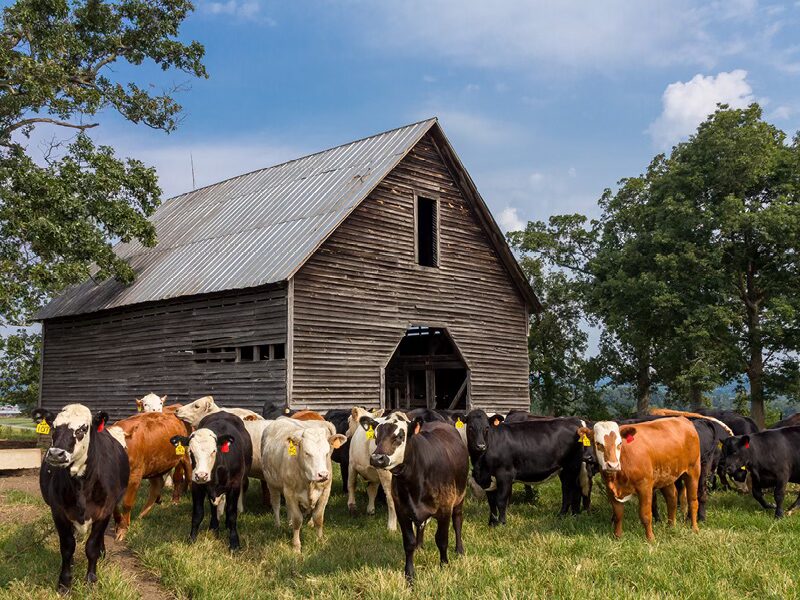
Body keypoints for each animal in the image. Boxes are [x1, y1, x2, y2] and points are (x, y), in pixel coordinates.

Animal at [32, 404, 130, 592]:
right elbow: (67, 547)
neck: (81, 485)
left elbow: (92, 546)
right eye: (53, 426)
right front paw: (64, 582)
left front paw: (91, 580)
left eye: (83, 429)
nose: (56, 454)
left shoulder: (104, 512)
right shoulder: (58, 512)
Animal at [109, 412, 192, 540]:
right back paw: (142, 514)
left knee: (182, 477)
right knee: (157, 485)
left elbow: (127, 503)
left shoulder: (135, 476)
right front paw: (118, 522)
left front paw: (123, 528)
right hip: (155, 464)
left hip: (183, 457)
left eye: (123, 448)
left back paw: (176, 500)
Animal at [260, 418, 346, 552]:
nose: (323, 475)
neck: (309, 482)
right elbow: (297, 520)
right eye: (307, 453)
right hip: (272, 484)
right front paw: (296, 546)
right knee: (276, 504)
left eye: (327, 453)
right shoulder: (289, 492)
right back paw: (278, 525)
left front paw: (320, 541)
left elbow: (318, 517)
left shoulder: (325, 491)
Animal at [360, 414, 468, 584]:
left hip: (459, 498)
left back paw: (459, 550)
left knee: (457, 521)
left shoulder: (445, 509)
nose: (377, 458)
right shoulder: (402, 510)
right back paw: (419, 546)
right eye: (376, 436)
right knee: (421, 526)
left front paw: (444, 565)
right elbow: (408, 543)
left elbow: (442, 540)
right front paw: (409, 574)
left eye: (400, 436)